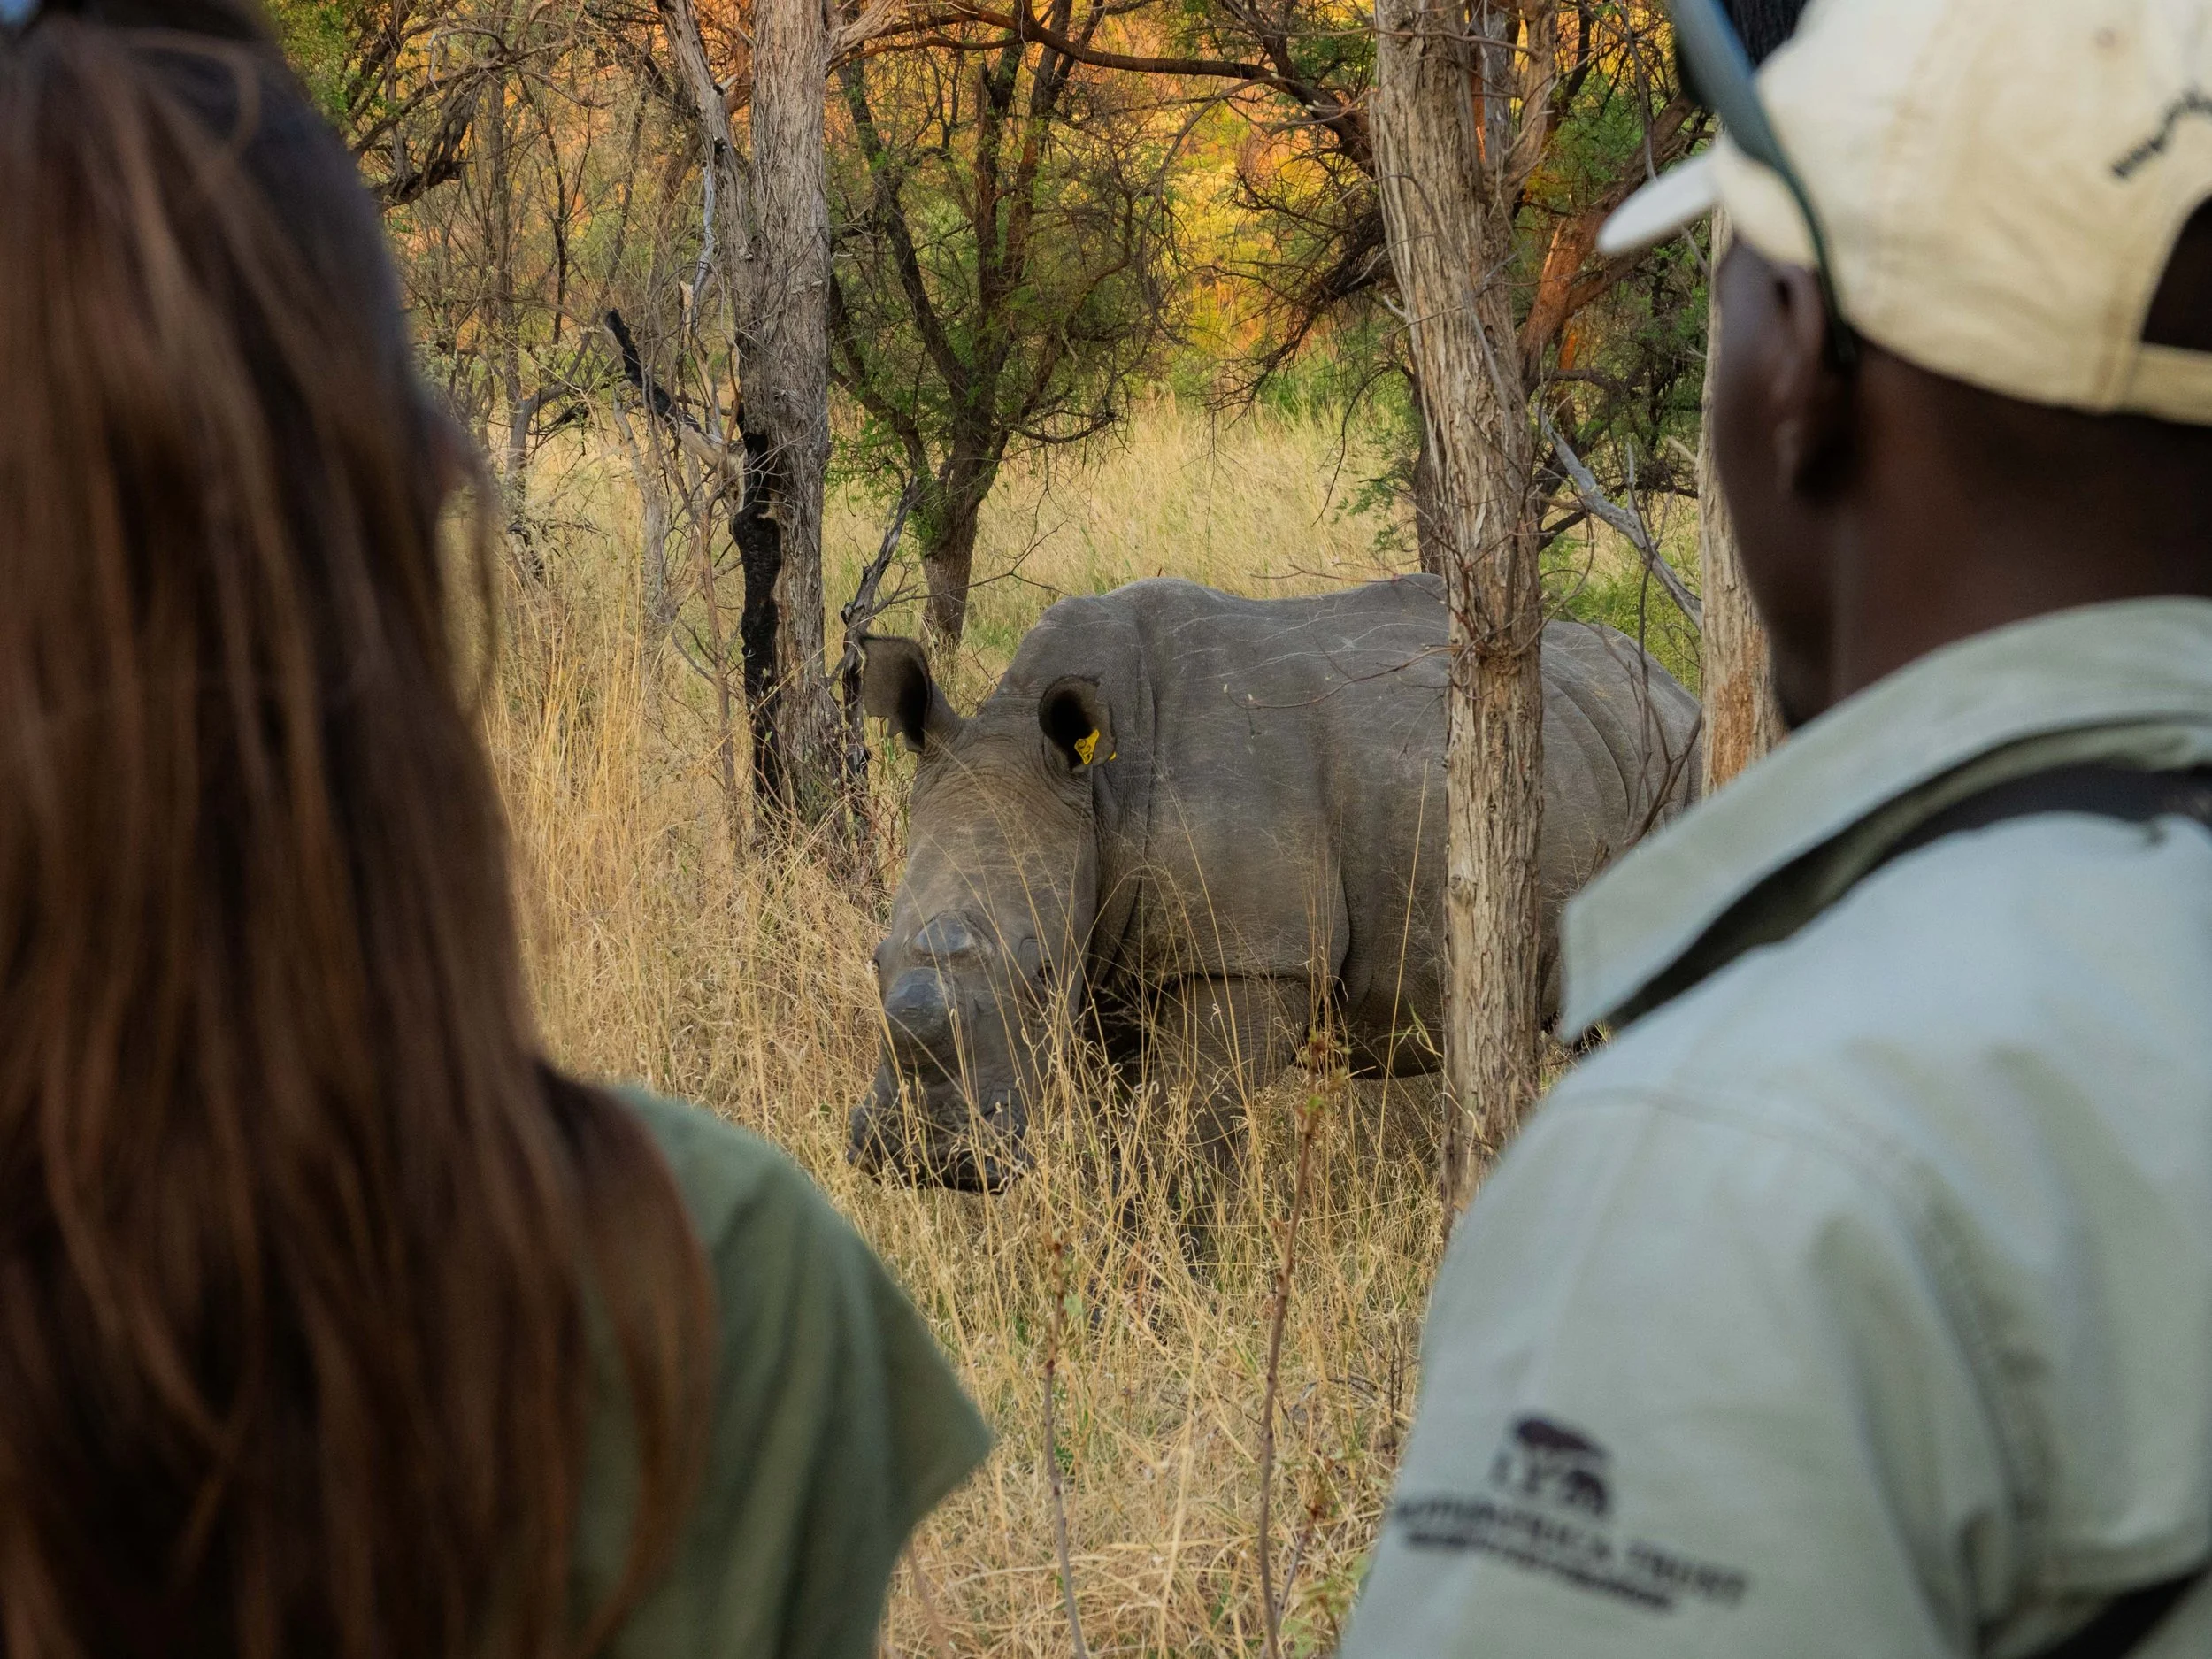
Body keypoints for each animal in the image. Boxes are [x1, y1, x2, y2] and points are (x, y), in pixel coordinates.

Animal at [849, 574, 1699, 1192]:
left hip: (1678, 774)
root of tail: (1677, 687)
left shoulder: (1250, 958)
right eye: (875, 958)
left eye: (1039, 969)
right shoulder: (1108, 973)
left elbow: (1183, 1142)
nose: (926, 1159)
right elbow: (1121, 1143)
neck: (1097, 792)